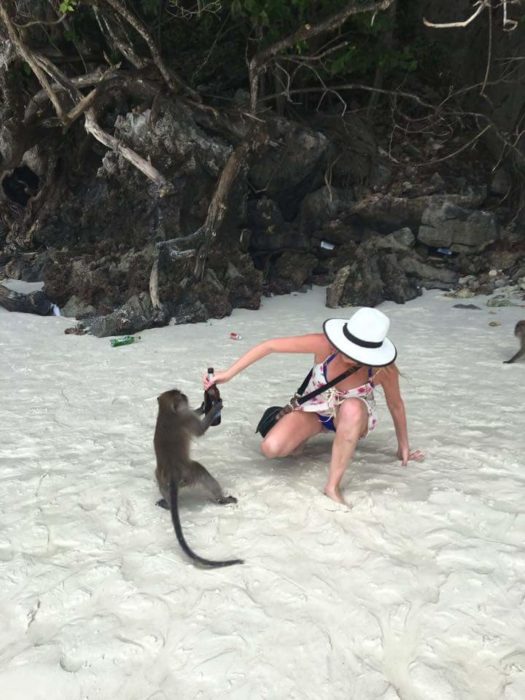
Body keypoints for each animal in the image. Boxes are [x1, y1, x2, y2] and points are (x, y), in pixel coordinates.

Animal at [154, 388, 244, 568]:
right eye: (180, 395)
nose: (185, 395)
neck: (166, 411)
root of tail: (173, 473)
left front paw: (203, 406)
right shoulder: (184, 418)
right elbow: (200, 430)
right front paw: (214, 407)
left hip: (163, 477)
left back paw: (167, 504)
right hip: (191, 472)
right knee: (202, 472)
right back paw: (222, 499)